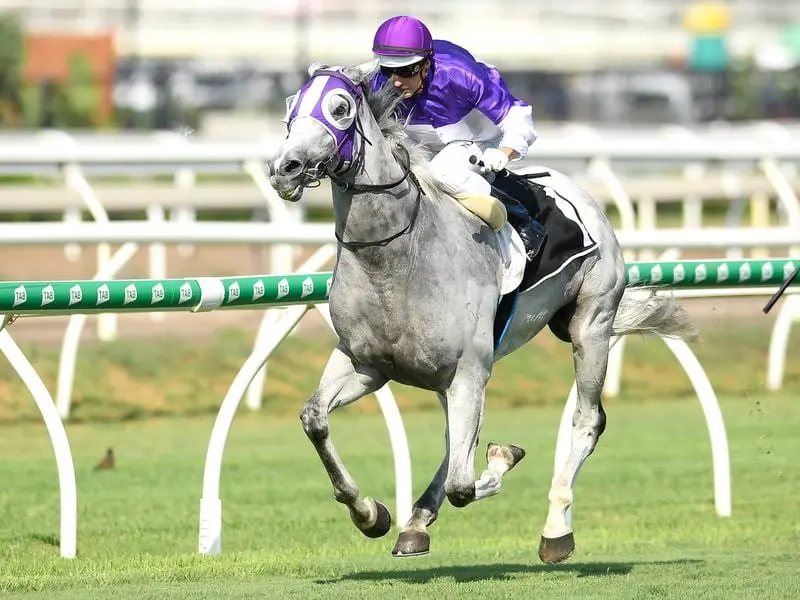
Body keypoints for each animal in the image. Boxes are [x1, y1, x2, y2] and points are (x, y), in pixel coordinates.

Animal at [268, 61, 692, 564]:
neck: (396, 258)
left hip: (592, 323)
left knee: (587, 420)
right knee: (455, 441)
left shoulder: (469, 371)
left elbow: (464, 483)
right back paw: (416, 523)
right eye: (290, 104)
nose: (285, 169)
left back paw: (556, 529)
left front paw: (502, 457)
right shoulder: (365, 363)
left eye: (340, 107)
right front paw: (371, 514)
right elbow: (315, 419)